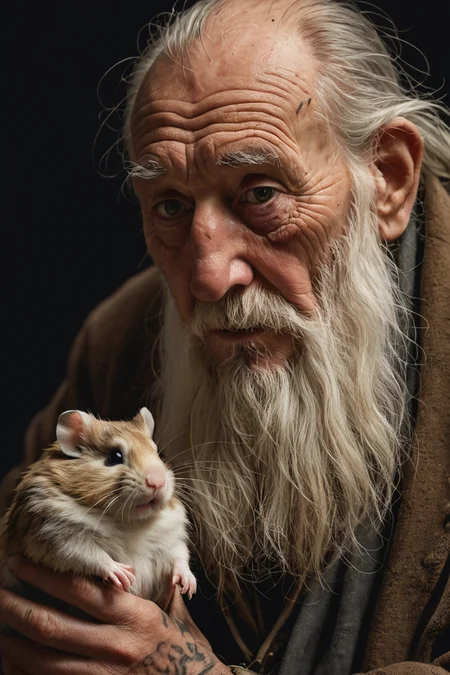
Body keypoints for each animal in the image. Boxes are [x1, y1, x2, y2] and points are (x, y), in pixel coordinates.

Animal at [0, 407, 196, 607]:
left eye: (157, 453)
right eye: (115, 457)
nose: (158, 482)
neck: (129, 522)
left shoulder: (171, 538)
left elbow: (179, 556)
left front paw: (188, 586)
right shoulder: (53, 534)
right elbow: (88, 554)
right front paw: (124, 575)